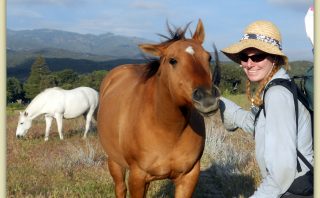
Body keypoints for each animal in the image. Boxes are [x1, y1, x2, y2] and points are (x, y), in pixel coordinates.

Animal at [98, 19, 220, 198]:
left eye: (208, 57)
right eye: (173, 60)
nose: (208, 98)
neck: (168, 129)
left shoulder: (189, 176)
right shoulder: (137, 176)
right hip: (114, 161)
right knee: (120, 188)